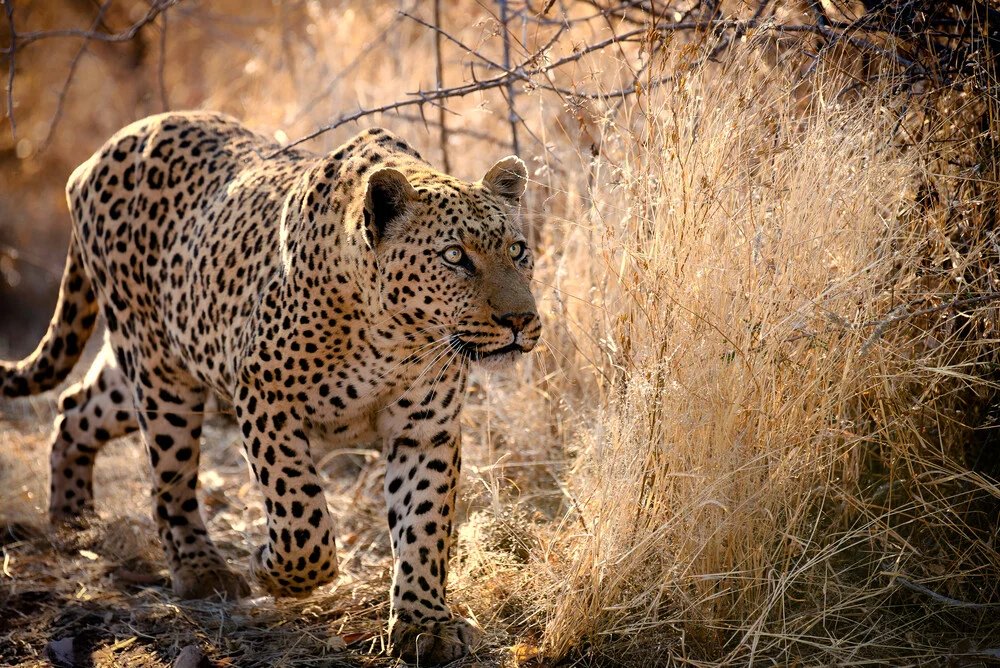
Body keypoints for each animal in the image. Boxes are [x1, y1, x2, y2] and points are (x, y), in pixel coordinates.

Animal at [0, 112, 544, 664]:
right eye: (454, 257)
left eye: (517, 250)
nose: (521, 320)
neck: (397, 337)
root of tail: (103, 151)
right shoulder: (265, 395)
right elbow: (303, 519)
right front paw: (271, 569)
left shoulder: (425, 428)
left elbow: (424, 523)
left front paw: (423, 624)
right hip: (160, 373)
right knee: (170, 479)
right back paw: (201, 570)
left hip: (158, 362)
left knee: (74, 406)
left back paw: (73, 520)